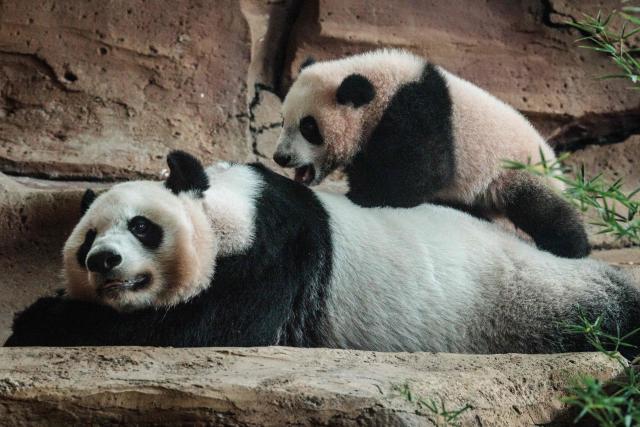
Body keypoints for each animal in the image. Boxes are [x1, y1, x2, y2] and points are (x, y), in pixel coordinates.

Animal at [6, 151, 640, 358]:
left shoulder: (274, 251)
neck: (231, 203)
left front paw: (38, 319)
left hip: (531, 299)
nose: (103, 262)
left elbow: (206, 327)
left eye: (142, 227)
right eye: (87, 240)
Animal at [273, 49, 590, 259]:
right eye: (283, 120)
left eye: (308, 127)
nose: (281, 158)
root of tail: (552, 159)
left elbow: (427, 171)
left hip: (516, 169)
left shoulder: (416, 112)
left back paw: (572, 246)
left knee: (541, 207)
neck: (381, 86)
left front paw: (365, 195)